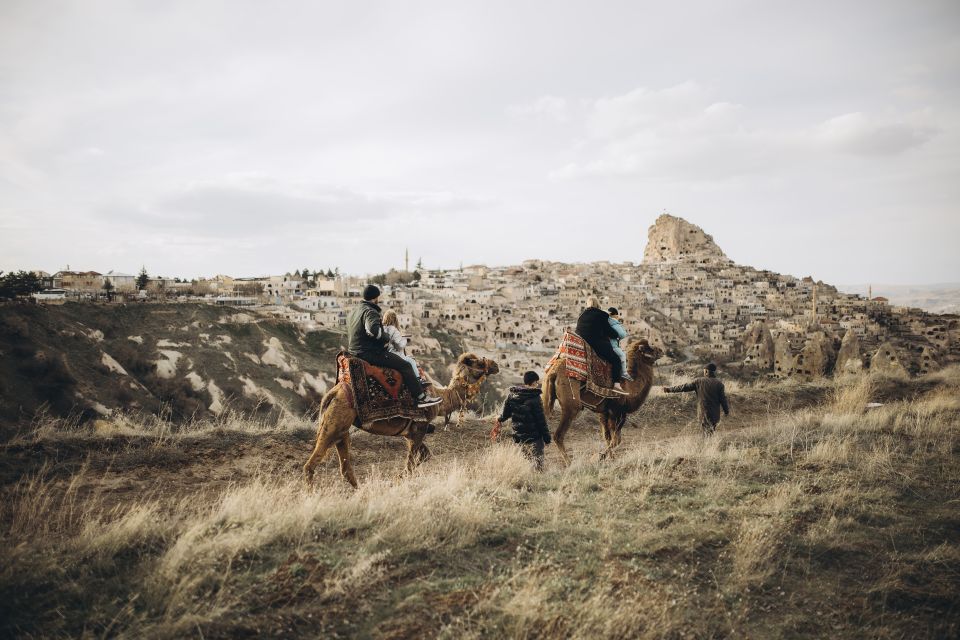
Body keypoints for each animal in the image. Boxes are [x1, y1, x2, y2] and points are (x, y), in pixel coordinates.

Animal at [303, 353, 500, 487]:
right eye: (480, 363)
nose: (496, 365)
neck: (441, 397)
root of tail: (334, 392)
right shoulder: (420, 426)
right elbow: (412, 463)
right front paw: (399, 479)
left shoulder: (410, 432)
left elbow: (424, 456)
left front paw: (399, 478)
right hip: (335, 423)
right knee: (311, 465)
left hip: (341, 428)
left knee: (345, 468)